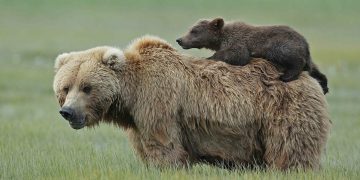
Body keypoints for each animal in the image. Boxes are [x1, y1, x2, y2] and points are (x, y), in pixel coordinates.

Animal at [52, 35, 330, 170]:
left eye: (87, 87)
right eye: (65, 87)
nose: (68, 112)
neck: (131, 96)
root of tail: (309, 77)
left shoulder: (159, 104)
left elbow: (166, 149)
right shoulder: (138, 122)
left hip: (283, 111)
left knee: (291, 153)